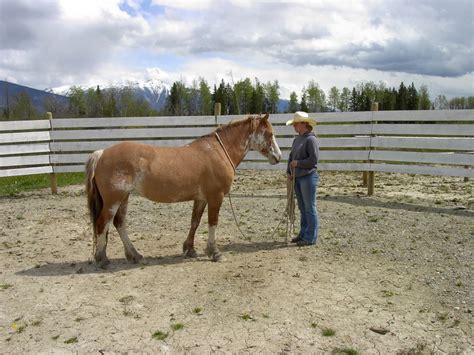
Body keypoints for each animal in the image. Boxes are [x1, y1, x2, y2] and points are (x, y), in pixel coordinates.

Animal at [85, 114, 282, 268]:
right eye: (270, 134)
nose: (278, 157)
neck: (218, 151)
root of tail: (101, 153)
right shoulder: (215, 197)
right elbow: (212, 223)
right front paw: (215, 253)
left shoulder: (201, 198)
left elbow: (195, 222)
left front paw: (190, 249)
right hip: (114, 200)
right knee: (103, 223)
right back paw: (102, 259)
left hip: (124, 198)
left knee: (119, 223)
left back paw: (135, 255)